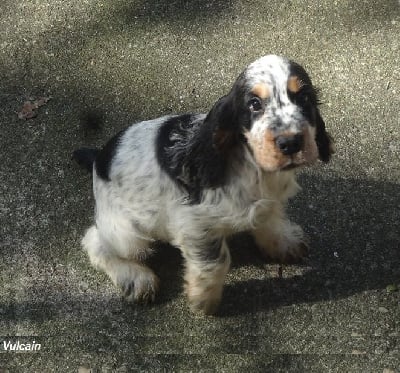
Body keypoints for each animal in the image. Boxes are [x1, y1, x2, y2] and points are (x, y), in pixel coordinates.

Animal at [73, 54, 332, 314]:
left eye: (305, 97)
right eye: (254, 104)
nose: (291, 143)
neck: (253, 167)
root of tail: (99, 158)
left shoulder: (269, 200)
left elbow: (270, 219)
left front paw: (284, 243)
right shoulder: (195, 225)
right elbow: (216, 262)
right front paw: (204, 299)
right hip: (127, 233)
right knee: (95, 241)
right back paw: (137, 279)